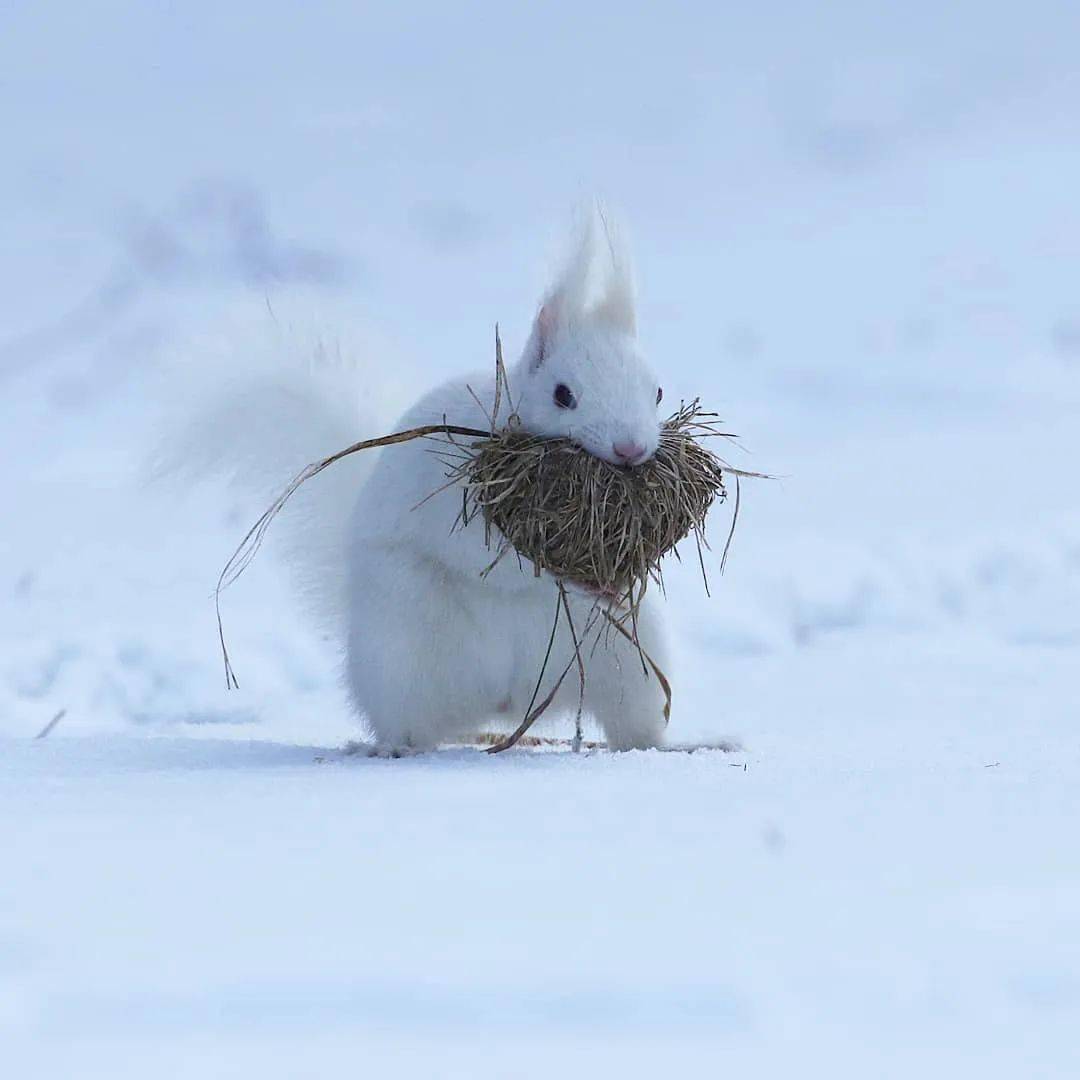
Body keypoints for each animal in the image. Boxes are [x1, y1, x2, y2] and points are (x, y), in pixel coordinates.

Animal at [173, 216, 669, 756]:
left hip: (632, 659)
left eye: (658, 391)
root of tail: (502, 701)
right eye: (563, 395)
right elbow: (490, 557)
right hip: (400, 655)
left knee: (635, 722)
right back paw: (393, 747)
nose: (629, 449)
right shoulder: (451, 504)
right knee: (406, 723)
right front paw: (576, 575)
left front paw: (609, 580)